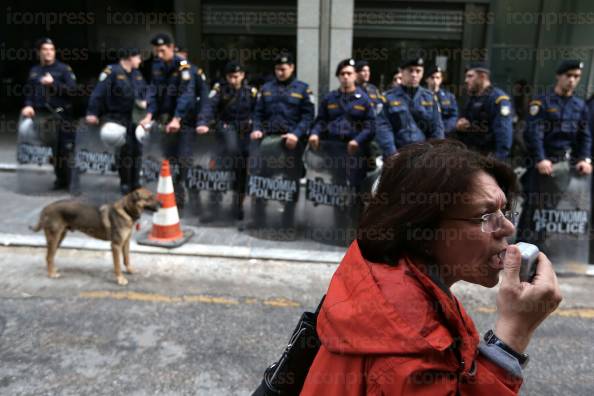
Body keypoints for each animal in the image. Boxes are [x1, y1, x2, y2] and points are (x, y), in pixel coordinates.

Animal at [30, 188, 160, 284]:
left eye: (154, 196)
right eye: (149, 197)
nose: (162, 203)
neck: (126, 210)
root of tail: (46, 208)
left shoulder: (125, 242)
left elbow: (127, 259)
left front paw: (130, 270)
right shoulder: (116, 245)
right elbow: (117, 265)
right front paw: (120, 279)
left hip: (60, 237)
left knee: (50, 256)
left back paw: (52, 269)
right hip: (54, 237)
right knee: (48, 257)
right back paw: (51, 274)